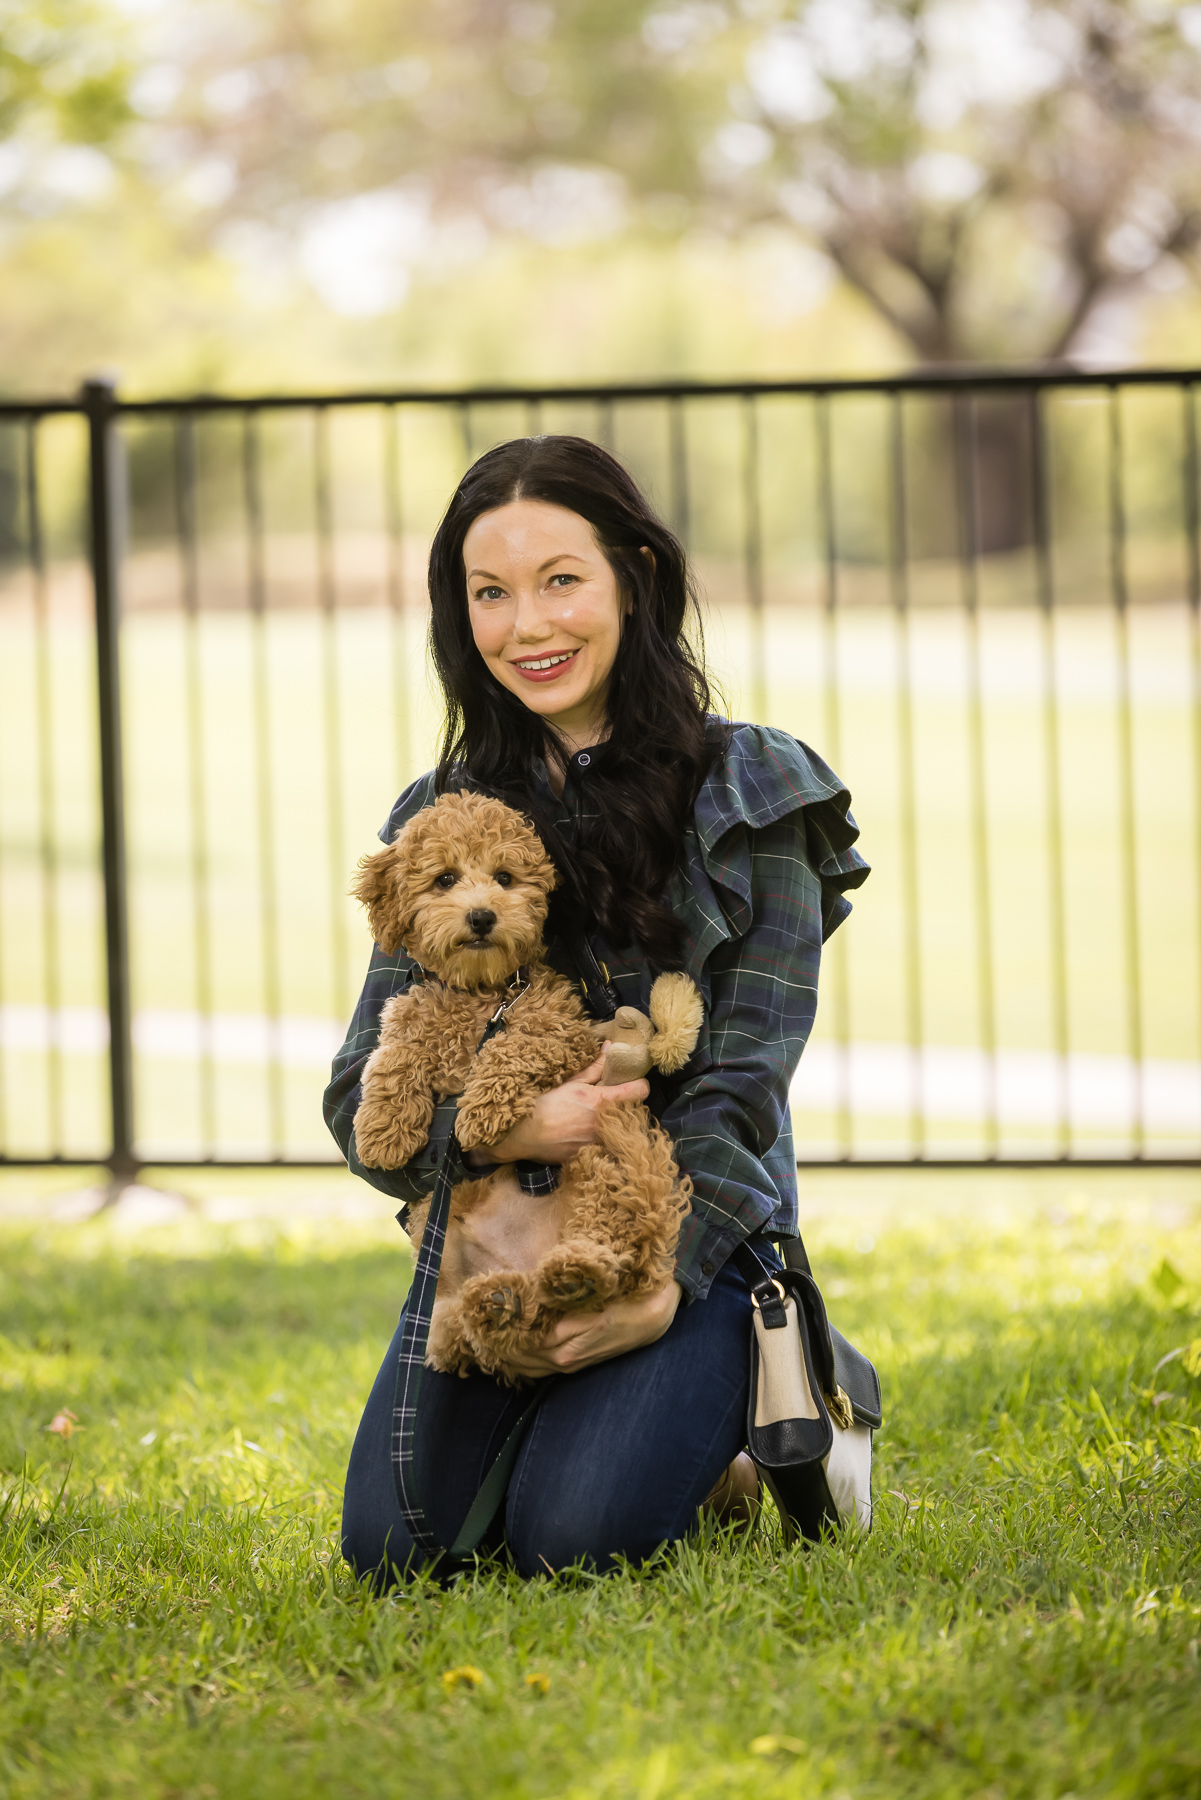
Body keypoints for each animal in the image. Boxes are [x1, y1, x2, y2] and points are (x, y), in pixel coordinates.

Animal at [352, 788, 698, 1375]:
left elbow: (514, 1048)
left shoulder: (563, 1033)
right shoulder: (412, 1015)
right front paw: (382, 1131)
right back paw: (504, 1305)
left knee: (614, 1251)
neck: (484, 995)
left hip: (607, 1170)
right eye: (445, 878)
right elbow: (392, 1057)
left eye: (505, 877)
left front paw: (480, 1113)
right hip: (441, 1270)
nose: (482, 915)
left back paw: (576, 1272)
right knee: (474, 1334)